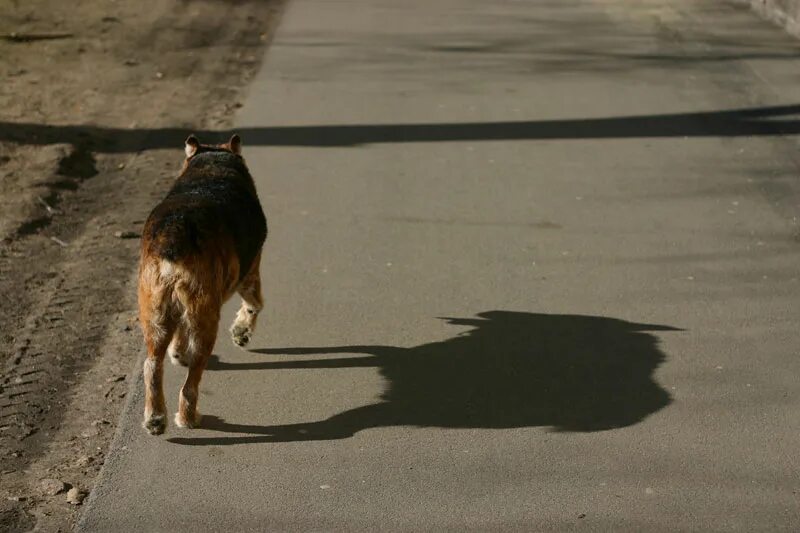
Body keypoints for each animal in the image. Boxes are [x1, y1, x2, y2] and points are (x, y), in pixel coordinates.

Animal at [135, 135, 266, 434]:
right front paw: (242, 331)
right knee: (190, 383)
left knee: (152, 366)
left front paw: (177, 353)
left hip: (155, 313)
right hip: (204, 317)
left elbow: (178, 335)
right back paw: (188, 418)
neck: (212, 166)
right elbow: (255, 304)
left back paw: (155, 418)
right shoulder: (250, 272)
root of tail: (174, 235)